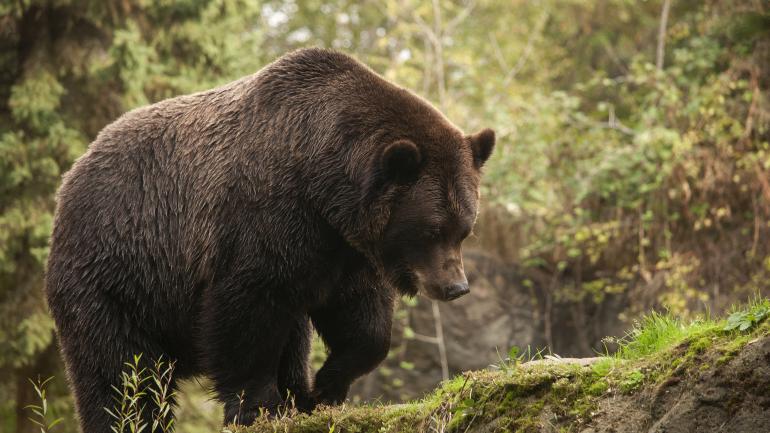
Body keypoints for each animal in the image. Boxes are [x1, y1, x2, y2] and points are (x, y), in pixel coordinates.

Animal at [45, 48, 495, 432]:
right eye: (432, 229)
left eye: (465, 228)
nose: (456, 286)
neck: (322, 185)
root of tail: (71, 177)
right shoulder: (264, 221)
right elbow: (248, 316)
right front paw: (261, 407)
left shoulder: (342, 250)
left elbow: (363, 321)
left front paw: (322, 389)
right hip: (118, 273)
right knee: (121, 369)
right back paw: (132, 419)